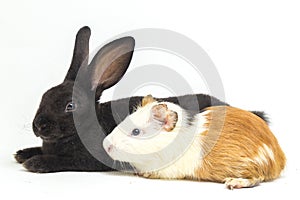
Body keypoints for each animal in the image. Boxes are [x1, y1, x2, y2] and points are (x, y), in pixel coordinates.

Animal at [14, 26, 264, 173]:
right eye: (44, 96)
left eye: (70, 106)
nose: (38, 126)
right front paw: (22, 154)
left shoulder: (90, 159)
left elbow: (65, 161)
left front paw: (35, 163)